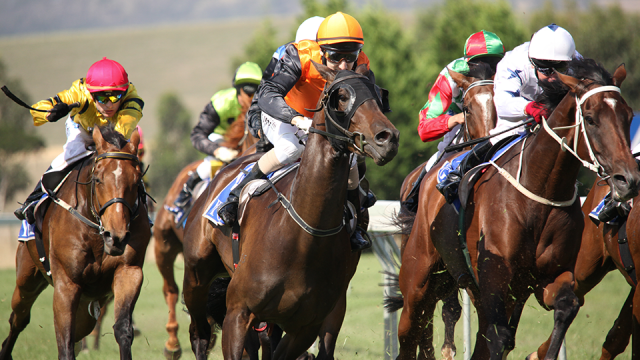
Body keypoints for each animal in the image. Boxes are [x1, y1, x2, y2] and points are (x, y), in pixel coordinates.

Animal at [0, 126, 151, 360]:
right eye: (98, 179)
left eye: (136, 182)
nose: (116, 236)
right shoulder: (66, 282)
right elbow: (65, 339)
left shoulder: (129, 271)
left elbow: (123, 329)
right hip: (27, 278)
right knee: (19, 318)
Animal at [180, 62, 398, 360]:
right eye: (341, 96)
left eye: (378, 95)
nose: (388, 138)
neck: (303, 237)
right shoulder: (238, 312)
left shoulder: (306, 326)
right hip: (196, 275)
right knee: (199, 334)